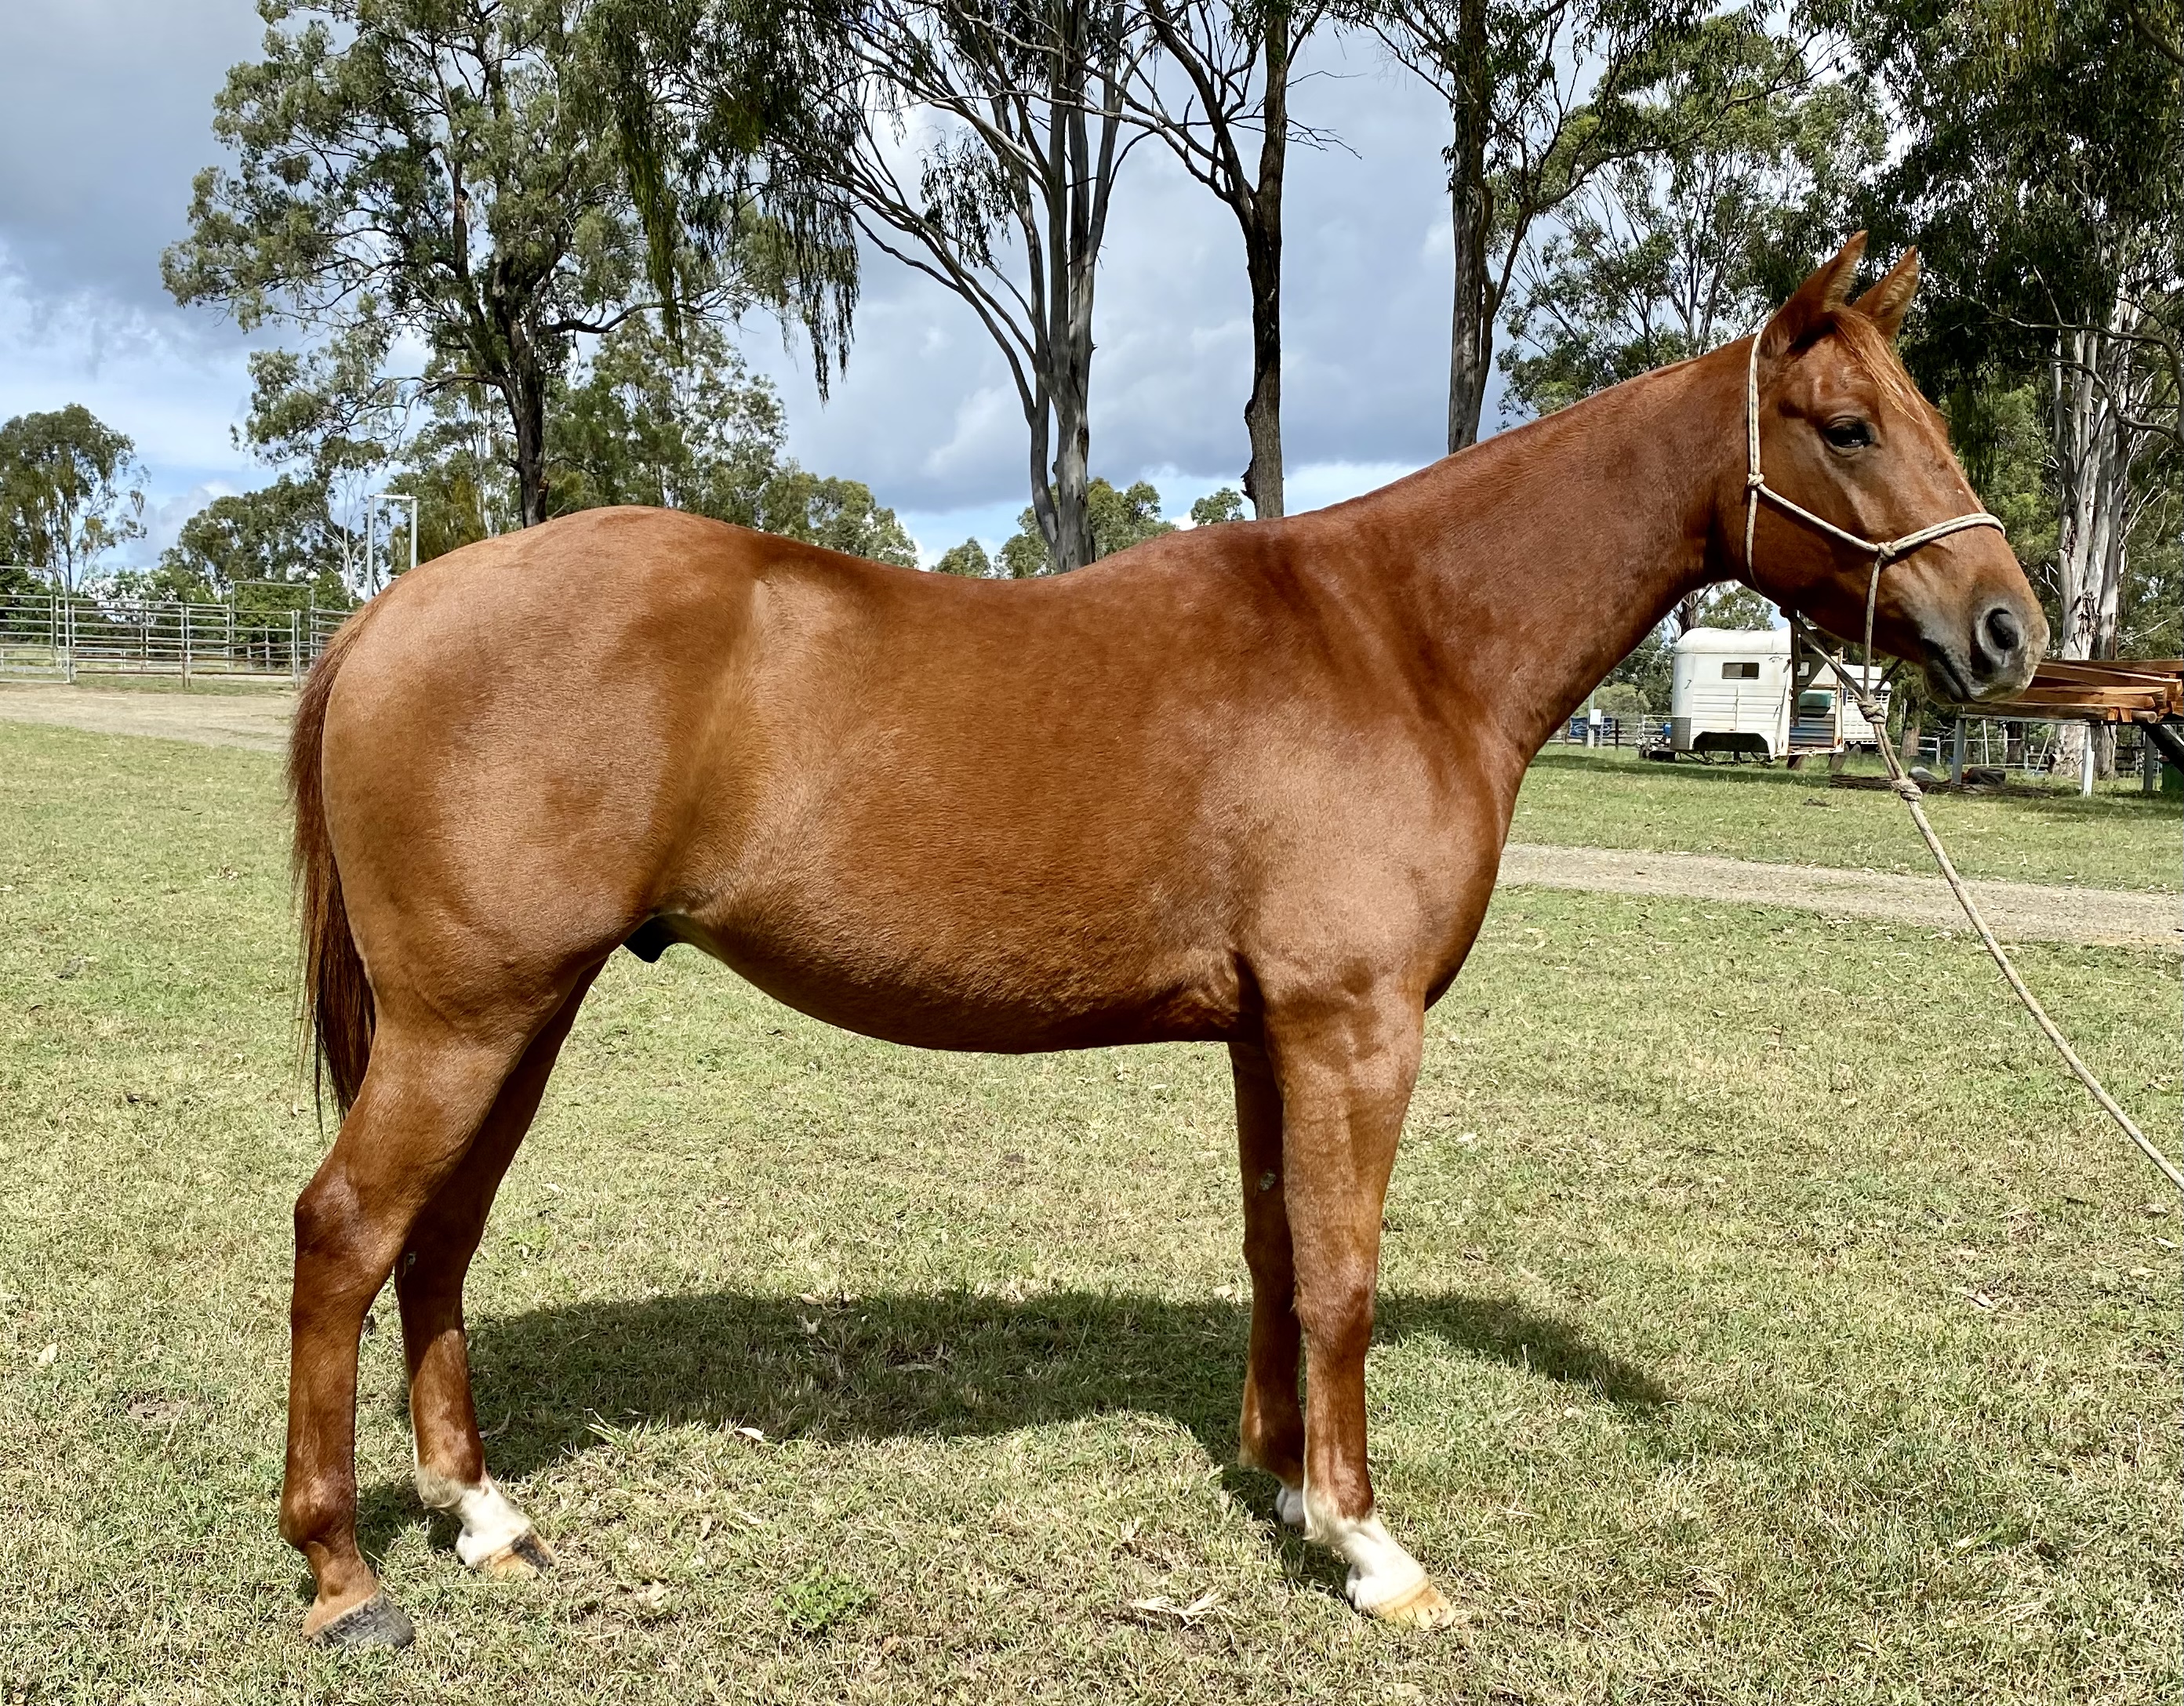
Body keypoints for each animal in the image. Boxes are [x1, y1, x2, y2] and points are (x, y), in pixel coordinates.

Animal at [279, 235, 2044, 1646]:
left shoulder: (1275, 1032)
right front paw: (1371, 1547)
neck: (1401, 637)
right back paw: (345, 1573)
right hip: (467, 1019)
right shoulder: (1355, 1025)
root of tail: (390, 609)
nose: (2008, 629)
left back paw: (482, 1517)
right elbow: (1344, 1274)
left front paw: (1284, 1488)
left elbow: (1277, 1251)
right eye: (1848, 427)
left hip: (522, 1013)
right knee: (347, 1231)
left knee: (438, 1241)